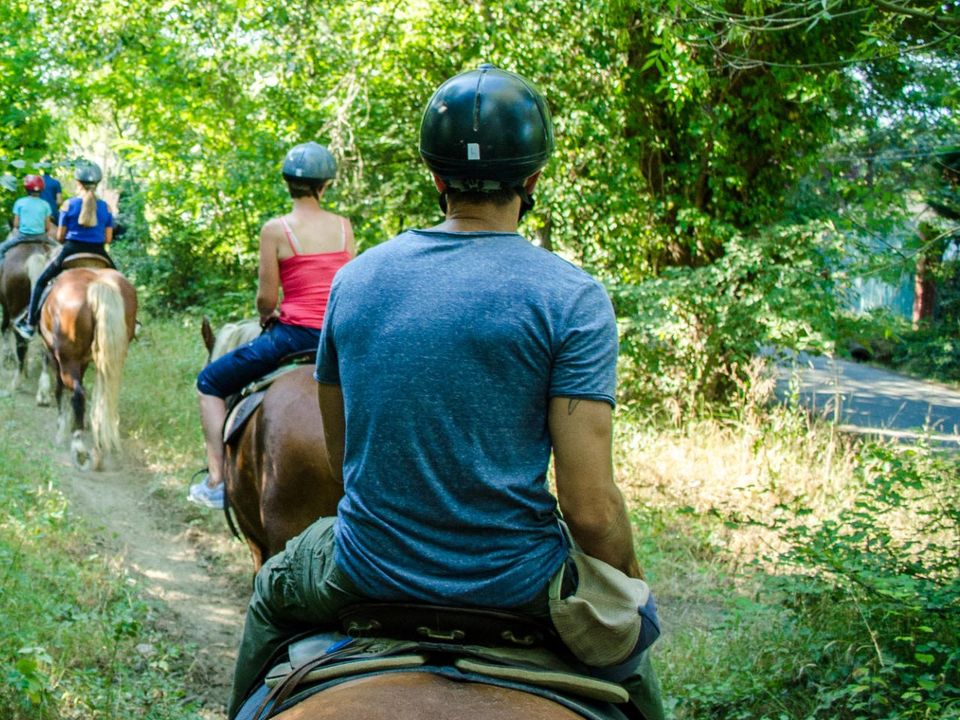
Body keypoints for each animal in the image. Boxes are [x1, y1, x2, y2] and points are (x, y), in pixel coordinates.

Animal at [38, 268, 137, 470]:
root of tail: (99, 283)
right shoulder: (83, 361)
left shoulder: (56, 355)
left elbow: (59, 389)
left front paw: (62, 426)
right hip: (109, 359)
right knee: (104, 397)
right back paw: (101, 446)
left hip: (68, 359)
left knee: (78, 394)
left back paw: (79, 447)